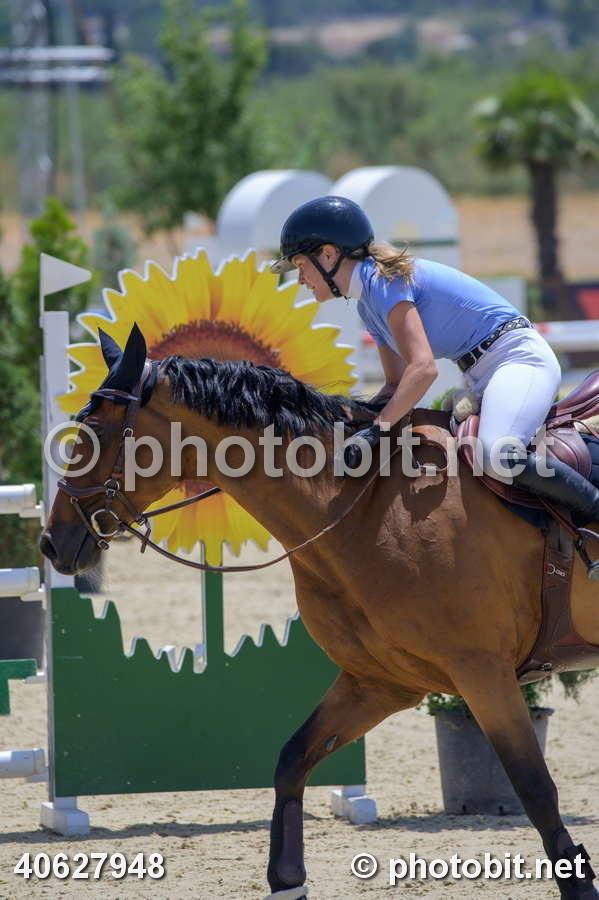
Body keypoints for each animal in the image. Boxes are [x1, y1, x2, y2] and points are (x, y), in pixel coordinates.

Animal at [41, 324, 599, 899]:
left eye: (94, 433)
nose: (52, 543)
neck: (363, 505)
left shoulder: (482, 673)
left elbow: (534, 787)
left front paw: (579, 885)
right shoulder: (380, 682)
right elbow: (293, 759)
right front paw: (287, 878)